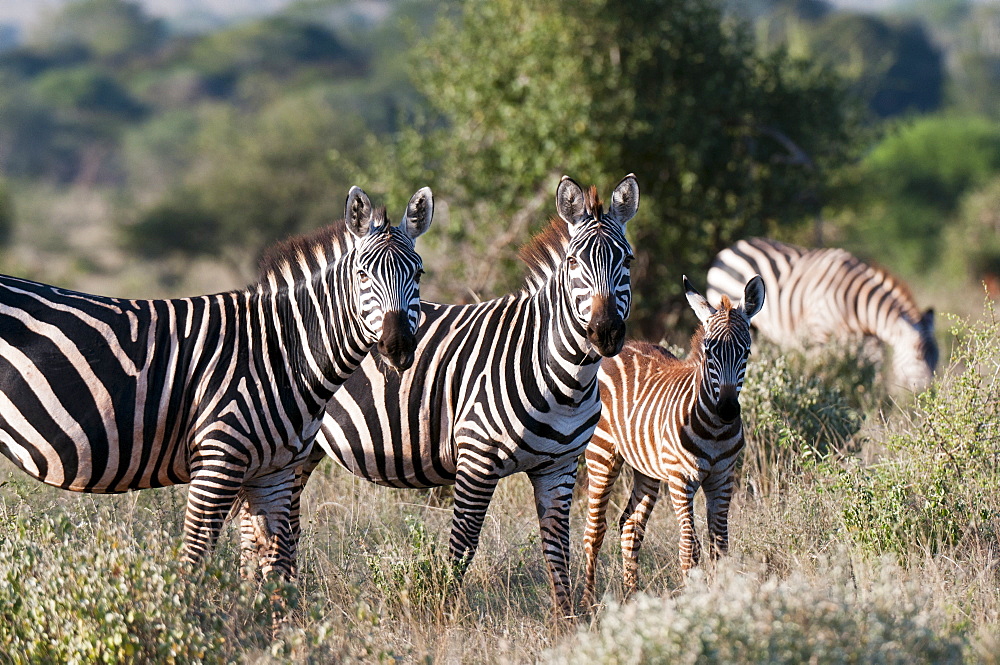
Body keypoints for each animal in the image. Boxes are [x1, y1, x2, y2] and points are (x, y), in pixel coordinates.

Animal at [0, 185, 432, 576]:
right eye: (362, 274)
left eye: (419, 272)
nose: (397, 346)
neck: (280, 351)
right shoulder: (218, 461)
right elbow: (195, 561)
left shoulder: (275, 474)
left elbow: (278, 572)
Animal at [242, 174, 636, 616]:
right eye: (573, 263)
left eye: (628, 261)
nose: (605, 332)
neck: (564, 380)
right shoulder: (477, 459)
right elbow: (462, 547)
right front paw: (446, 615)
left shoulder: (561, 467)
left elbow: (557, 548)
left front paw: (566, 619)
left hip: (302, 450)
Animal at [580, 274, 764, 608]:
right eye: (709, 351)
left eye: (746, 352)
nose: (728, 410)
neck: (715, 430)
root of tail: (619, 350)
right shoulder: (681, 480)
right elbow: (690, 549)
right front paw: (695, 604)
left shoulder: (723, 478)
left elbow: (720, 548)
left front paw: (721, 599)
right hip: (602, 455)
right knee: (594, 532)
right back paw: (587, 604)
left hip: (646, 468)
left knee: (630, 526)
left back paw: (633, 598)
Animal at [708, 237, 932, 390]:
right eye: (919, 356)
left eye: (936, 358)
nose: (930, 392)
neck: (855, 306)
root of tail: (732, 247)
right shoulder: (819, 334)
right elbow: (822, 373)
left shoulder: (869, 342)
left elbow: (871, 378)